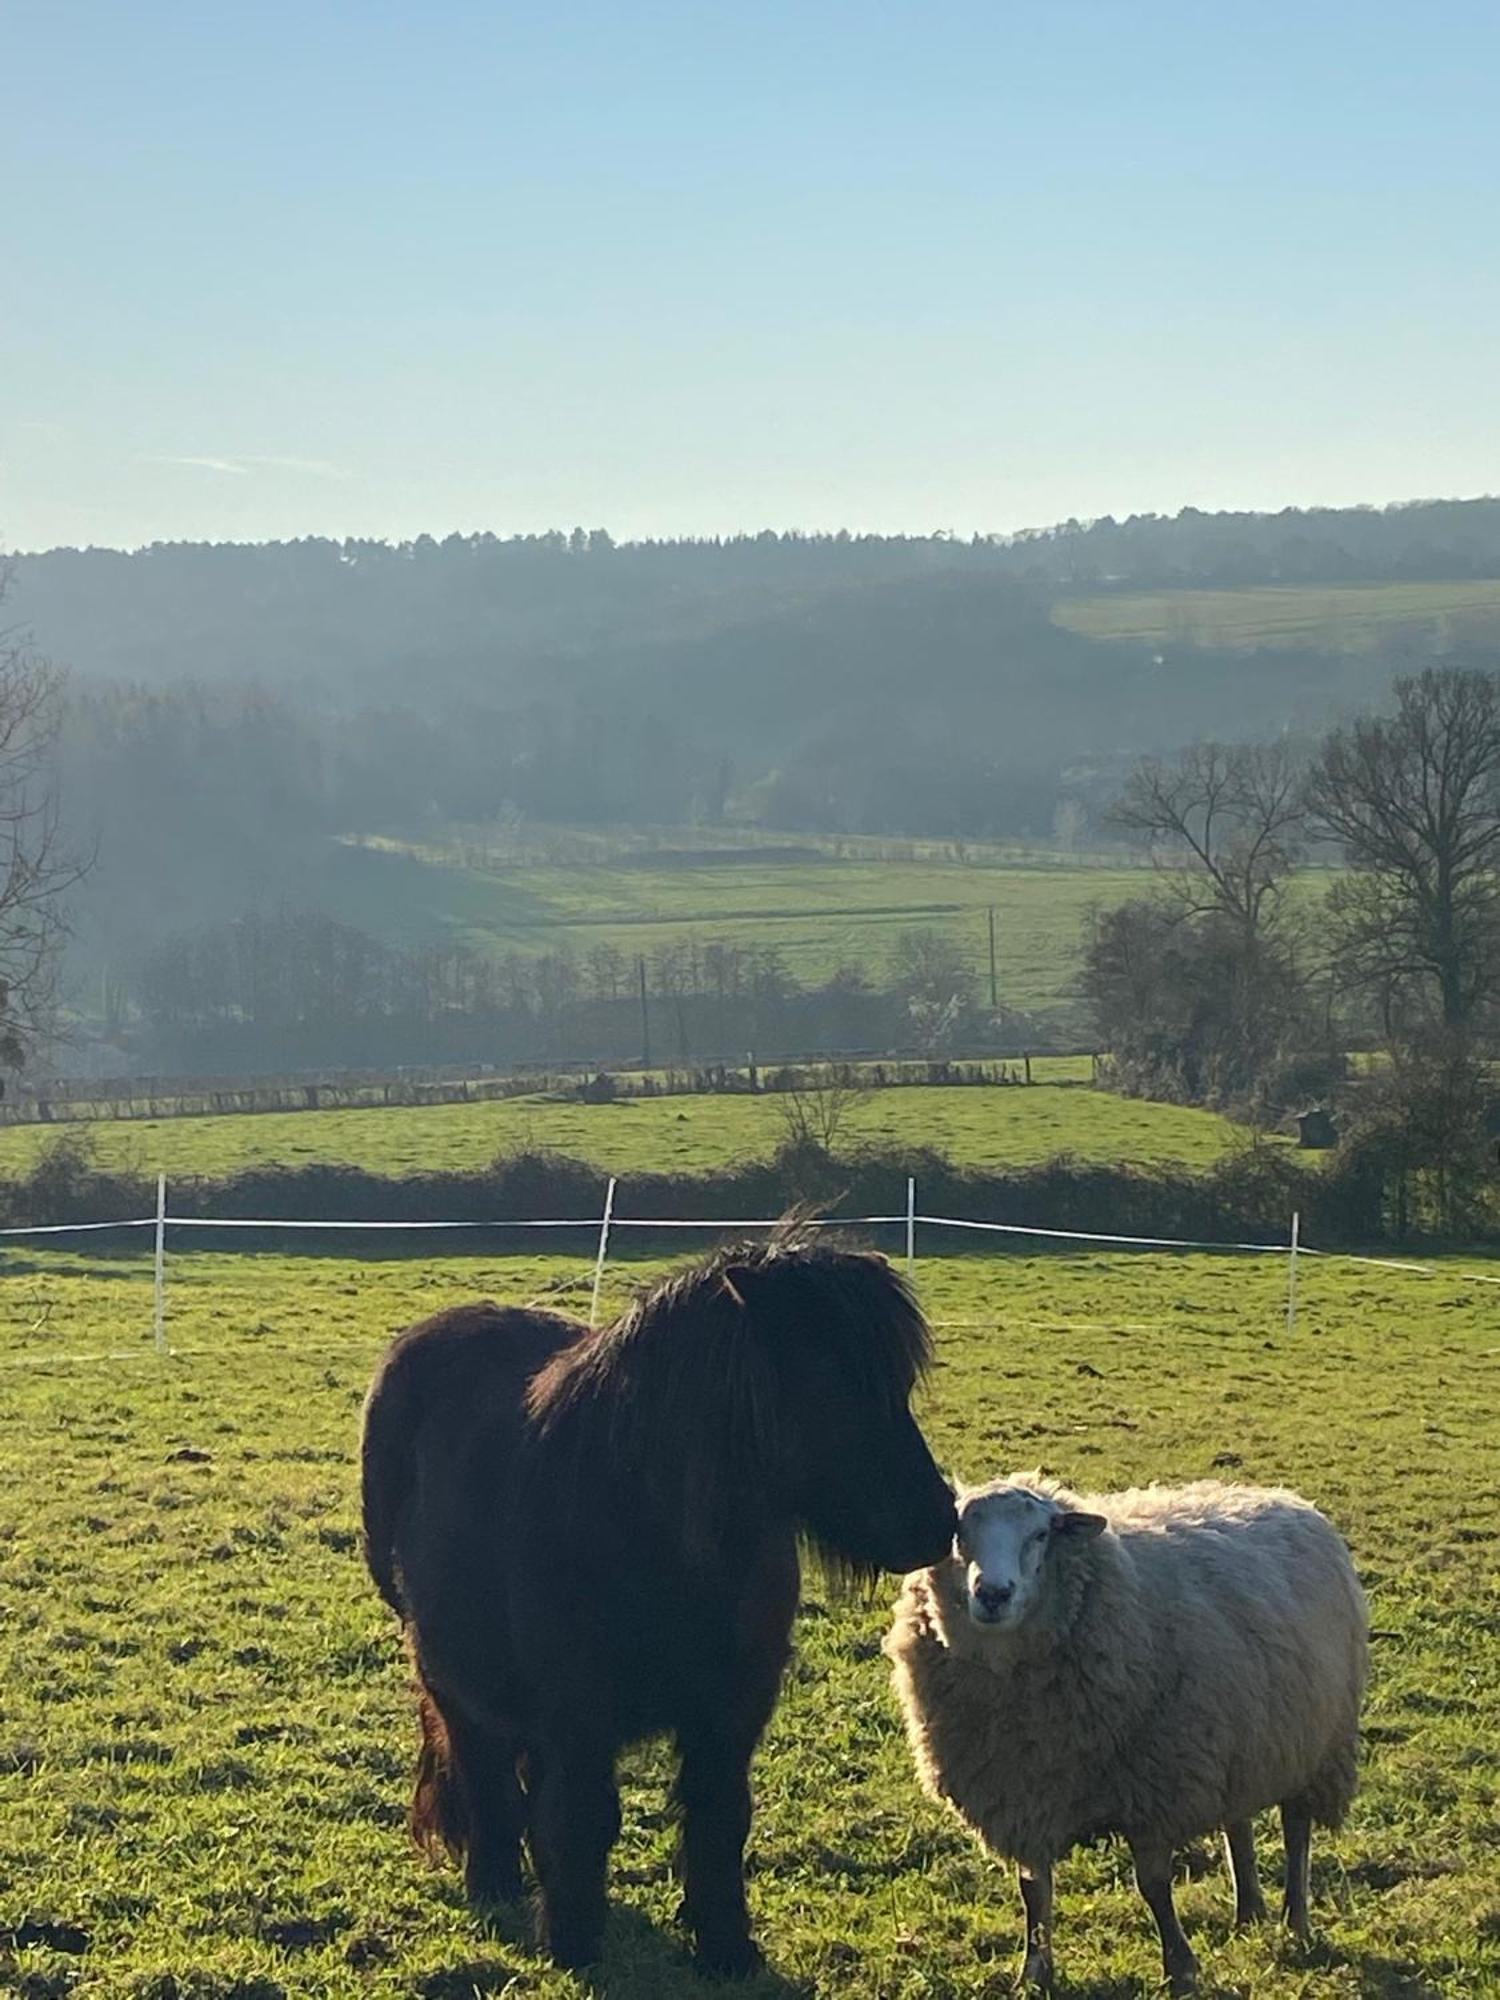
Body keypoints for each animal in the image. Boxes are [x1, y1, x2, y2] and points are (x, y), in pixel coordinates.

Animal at [358, 1232, 956, 1968]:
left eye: (897, 1386)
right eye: (827, 1384)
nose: (936, 1522)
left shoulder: (731, 1710)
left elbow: (719, 1820)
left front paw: (727, 1951)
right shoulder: (579, 1712)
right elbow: (585, 1817)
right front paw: (575, 1943)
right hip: (443, 1663)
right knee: (482, 1764)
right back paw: (494, 1880)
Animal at [888, 1472, 1368, 1984]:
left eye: (1040, 1535)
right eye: (959, 1534)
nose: (993, 1594)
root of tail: (1280, 1495)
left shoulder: (1155, 1787)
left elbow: (1153, 1884)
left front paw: (1180, 1968)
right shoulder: (1025, 1791)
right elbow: (1033, 1889)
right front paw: (1034, 1971)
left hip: (1313, 1742)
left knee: (1297, 1830)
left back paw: (1295, 1920)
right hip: (1239, 1737)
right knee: (1236, 1823)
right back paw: (1248, 1911)